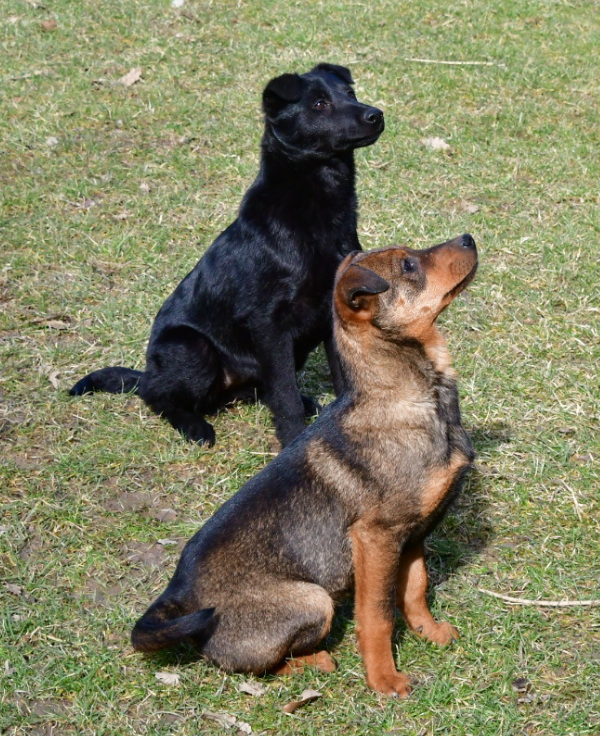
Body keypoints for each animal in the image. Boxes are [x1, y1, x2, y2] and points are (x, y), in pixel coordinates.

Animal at [69, 63, 384, 448]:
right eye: (320, 104)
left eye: (350, 94)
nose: (376, 114)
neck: (317, 211)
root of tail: (147, 370)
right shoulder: (268, 323)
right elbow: (284, 396)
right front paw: (294, 441)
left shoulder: (333, 310)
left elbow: (337, 381)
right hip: (191, 348)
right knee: (158, 396)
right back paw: (194, 426)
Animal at [130, 234, 478, 697]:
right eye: (407, 266)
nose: (468, 238)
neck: (414, 400)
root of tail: (180, 597)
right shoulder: (376, 538)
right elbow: (378, 614)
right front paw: (384, 679)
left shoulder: (413, 533)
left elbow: (415, 591)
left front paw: (431, 633)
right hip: (313, 599)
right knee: (244, 664)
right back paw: (315, 661)